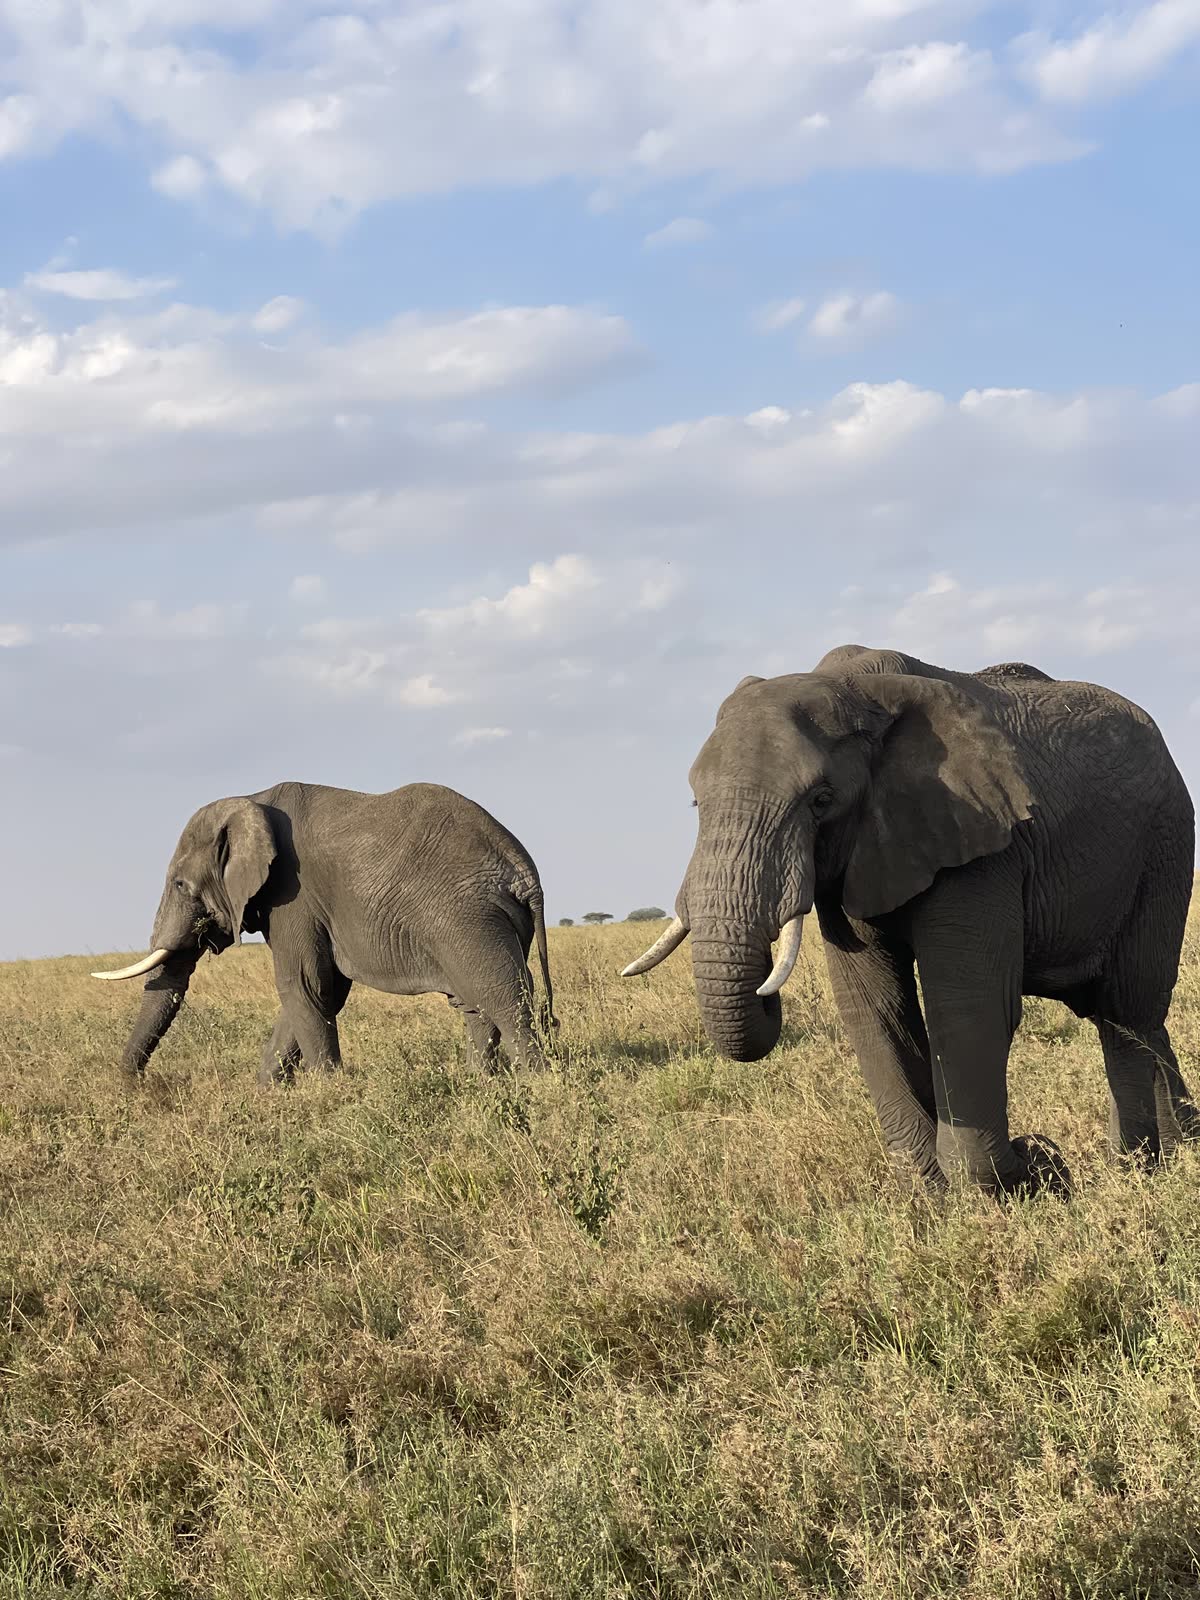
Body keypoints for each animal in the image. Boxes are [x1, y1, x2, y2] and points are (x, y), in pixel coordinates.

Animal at [93, 782, 556, 1084]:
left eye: (179, 885)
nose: (136, 1086)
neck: (253, 800)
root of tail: (524, 872)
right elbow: (320, 991)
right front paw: (267, 1092)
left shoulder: (293, 894)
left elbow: (303, 984)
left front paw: (330, 1092)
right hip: (484, 920)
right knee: (474, 1003)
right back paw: (479, 1084)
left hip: (466, 916)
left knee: (505, 999)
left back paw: (535, 1085)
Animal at [622, 643, 1197, 1196]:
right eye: (696, 802)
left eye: (821, 800)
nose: (1037, 1147)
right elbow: (873, 1005)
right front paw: (931, 1193)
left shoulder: (978, 840)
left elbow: (965, 1005)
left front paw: (1022, 1180)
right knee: (1128, 1014)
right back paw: (1179, 1149)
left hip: (1165, 845)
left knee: (1126, 1010)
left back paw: (1135, 1169)